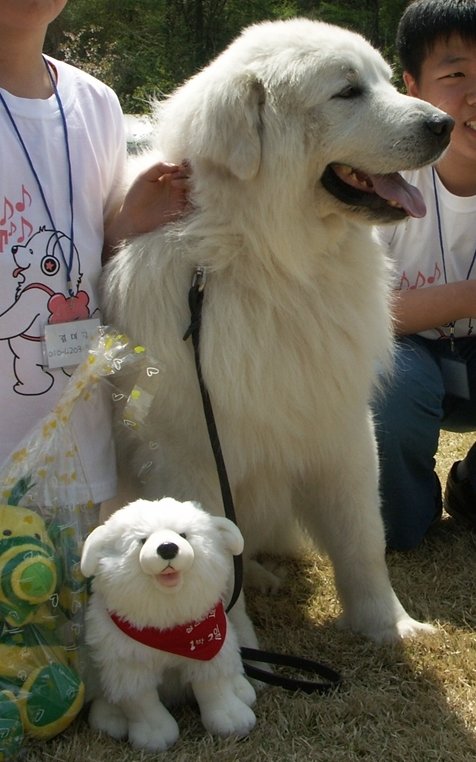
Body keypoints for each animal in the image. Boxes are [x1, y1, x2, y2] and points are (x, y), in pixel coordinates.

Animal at [101, 19, 454, 640]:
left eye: (385, 80)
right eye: (347, 92)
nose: (446, 125)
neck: (274, 265)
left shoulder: (339, 427)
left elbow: (363, 541)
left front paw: (389, 627)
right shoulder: (191, 453)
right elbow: (209, 555)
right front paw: (235, 645)